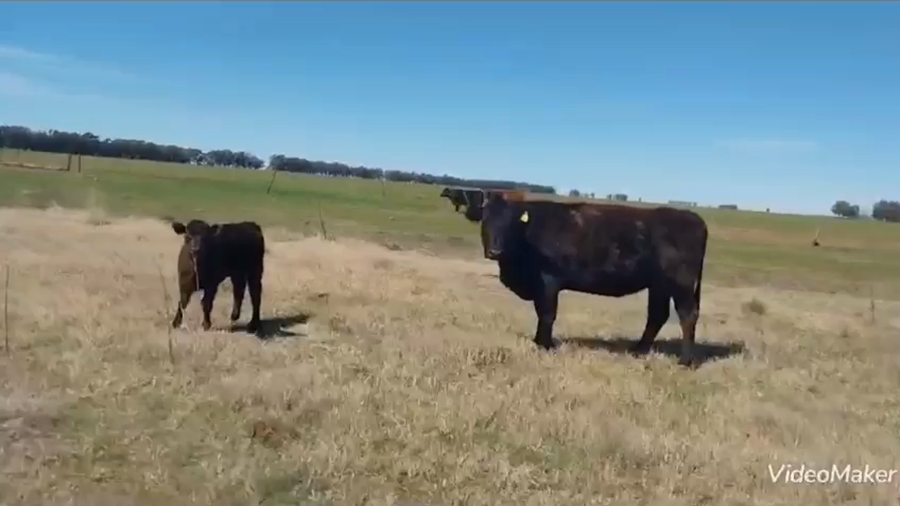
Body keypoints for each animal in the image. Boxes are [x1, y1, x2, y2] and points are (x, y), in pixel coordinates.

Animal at [466, 192, 708, 368]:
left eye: (510, 224)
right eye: (486, 222)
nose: (495, 251)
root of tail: (692, 217)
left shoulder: (548, 281)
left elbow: (547, 313)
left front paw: (545, 345)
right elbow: (541, 313)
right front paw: (538, 341)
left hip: (681, 284)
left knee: (687, 315)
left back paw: (685, 361)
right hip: (659, 285)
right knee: (658, 315)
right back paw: (638, 351)